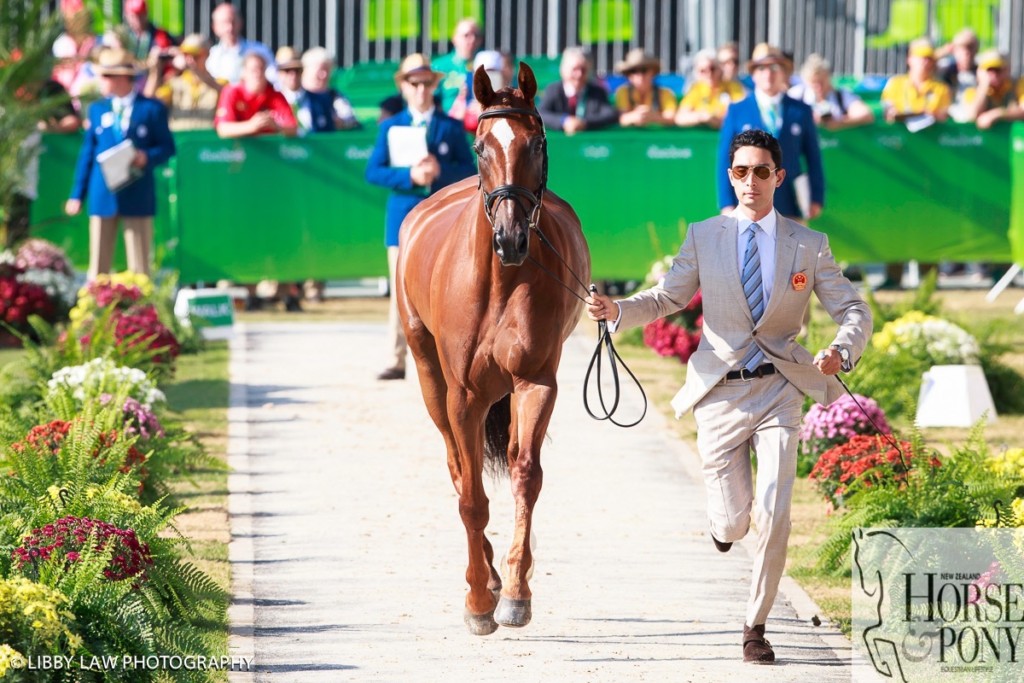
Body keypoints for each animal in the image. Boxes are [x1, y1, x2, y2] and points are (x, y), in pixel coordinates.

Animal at [397, 63, 593, 634]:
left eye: (537, 143)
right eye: (481, 145)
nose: (510, 238)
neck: (500, 282)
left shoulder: (535, 383)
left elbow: (526, 475)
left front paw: (516, 594)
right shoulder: (464, 396)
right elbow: (471, 498)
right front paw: (479, 600)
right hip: (430, 379)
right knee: (457, 468)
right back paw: (482, 575)